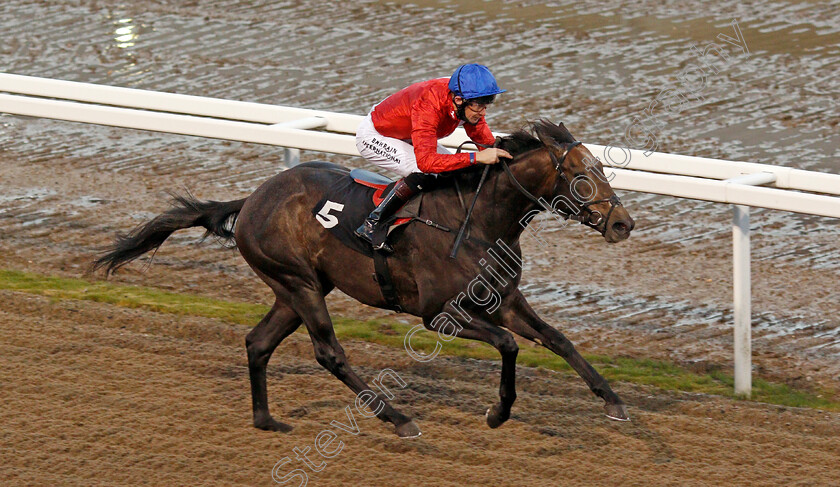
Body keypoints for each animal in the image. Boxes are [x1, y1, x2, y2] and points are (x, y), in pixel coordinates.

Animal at [93, 121, 636, 438]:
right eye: (581, 174)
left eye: (601, 166)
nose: (622, 224)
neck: (479, 220)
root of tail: (251, 199)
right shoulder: (438, 314)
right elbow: (508, 345)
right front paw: (497, 413)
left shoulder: (502, 299)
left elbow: (557, 339)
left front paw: (613, 402)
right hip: (298, 283)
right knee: (329, 352)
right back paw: (396, 418)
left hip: (299, 288)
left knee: (258, 342)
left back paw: (266, 420)